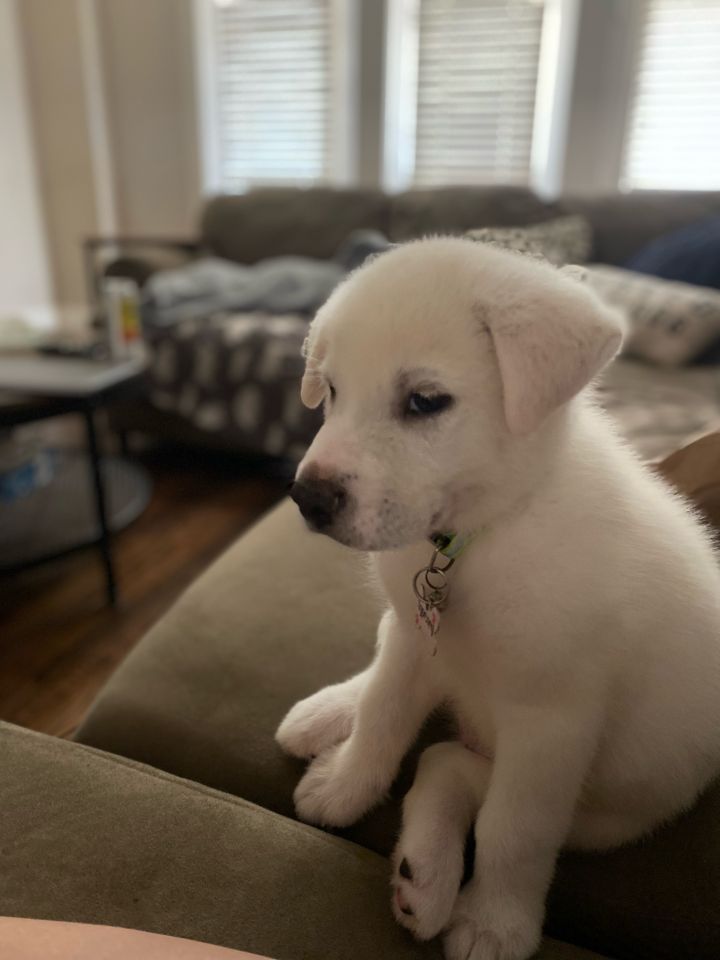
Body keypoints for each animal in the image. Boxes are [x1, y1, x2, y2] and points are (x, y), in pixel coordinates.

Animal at [274, 238, 720, 960]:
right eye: (332, 391)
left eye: (425, 401)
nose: (307, 498)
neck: (475, 542)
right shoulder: (413, 637)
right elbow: (383, 716)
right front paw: (345, 786)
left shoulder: (552, 723)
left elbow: (514, 832)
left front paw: (494, 922)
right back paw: (333, 721)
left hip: (613, 811)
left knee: (451, 765)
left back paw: (428, 876)